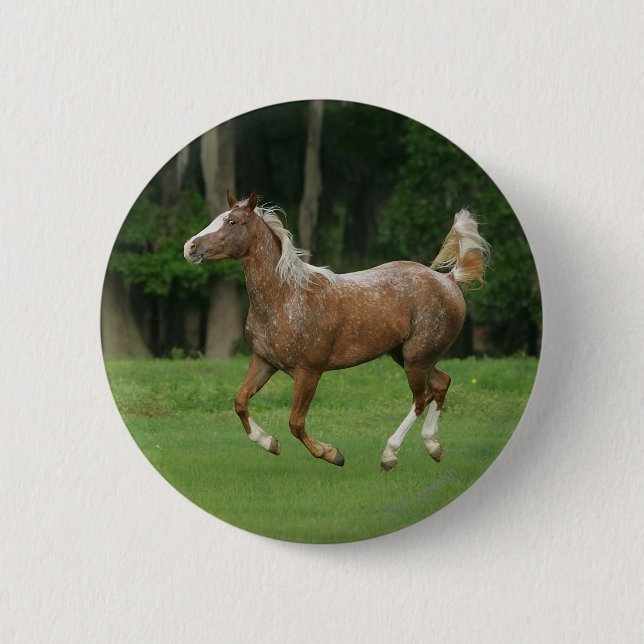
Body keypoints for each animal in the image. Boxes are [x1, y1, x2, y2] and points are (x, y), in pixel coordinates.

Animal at [184, 191, 489, 471]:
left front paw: (332, 454)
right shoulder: (264, 362)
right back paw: (433, 447)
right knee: (441, 384)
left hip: (416, 358)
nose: (189, 247)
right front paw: (270, 443)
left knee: (420, 398)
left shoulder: (309, 371)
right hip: (408, 356)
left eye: (232, 221)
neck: (286, 297)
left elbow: (295, 423)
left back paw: (389, 456)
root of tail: (449, 280)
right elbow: (240, 402)